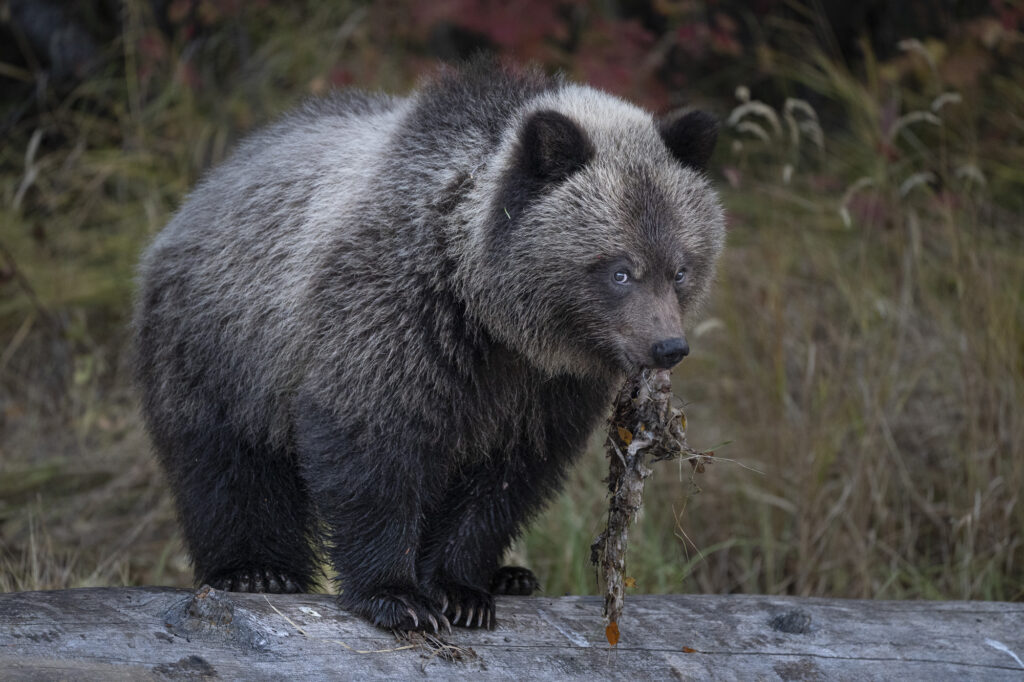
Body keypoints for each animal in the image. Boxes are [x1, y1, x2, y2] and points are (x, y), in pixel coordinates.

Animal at [133, 60, 725, 632]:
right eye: (620, 270)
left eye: (680, 269)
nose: (668, 346)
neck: (491, 314)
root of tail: (208, 186)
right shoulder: (394, 320)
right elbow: (373, 450)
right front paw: (398, 596)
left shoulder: (545, 388)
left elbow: (505, 480)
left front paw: (462, 591)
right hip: (223, 345)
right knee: (225, 465)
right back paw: (257, 569)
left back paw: (511, 576)